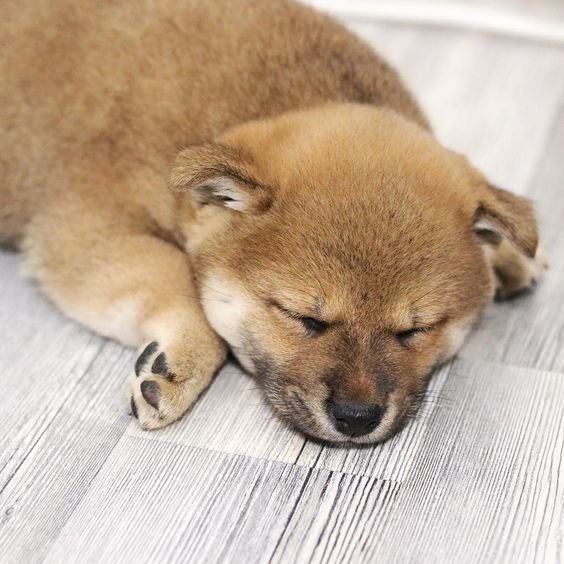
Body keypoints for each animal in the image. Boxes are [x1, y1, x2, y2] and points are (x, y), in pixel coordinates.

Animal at [0, 0, 548, 446]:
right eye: (304, 318)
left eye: (415, 330)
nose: (357, 417)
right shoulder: (82, 228)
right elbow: (176, 274)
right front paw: (178, 363)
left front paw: (510, 255)